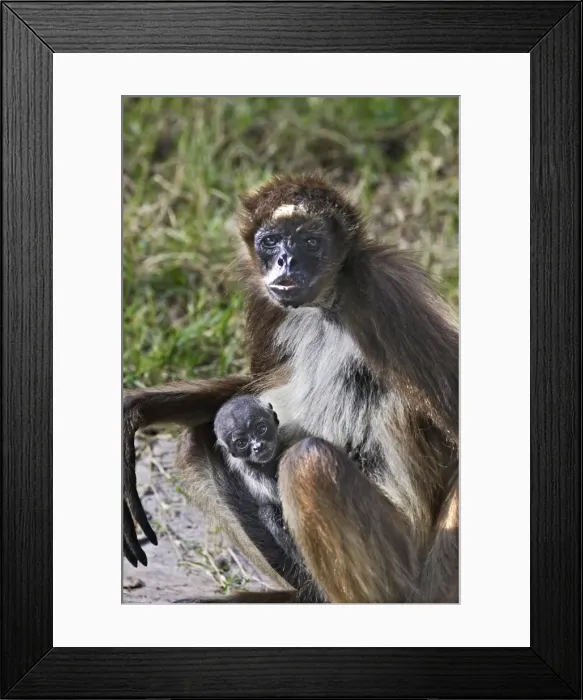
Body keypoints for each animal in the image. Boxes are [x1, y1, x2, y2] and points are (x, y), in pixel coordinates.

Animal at [123, 172, 458, 603]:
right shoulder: (265, 301)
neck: (324, 305)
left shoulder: (381, 289)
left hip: (403, 559)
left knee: (308, 461)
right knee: (196, 440)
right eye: (271, 241)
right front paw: (139, 407)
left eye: (310, 242)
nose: (287, 260)